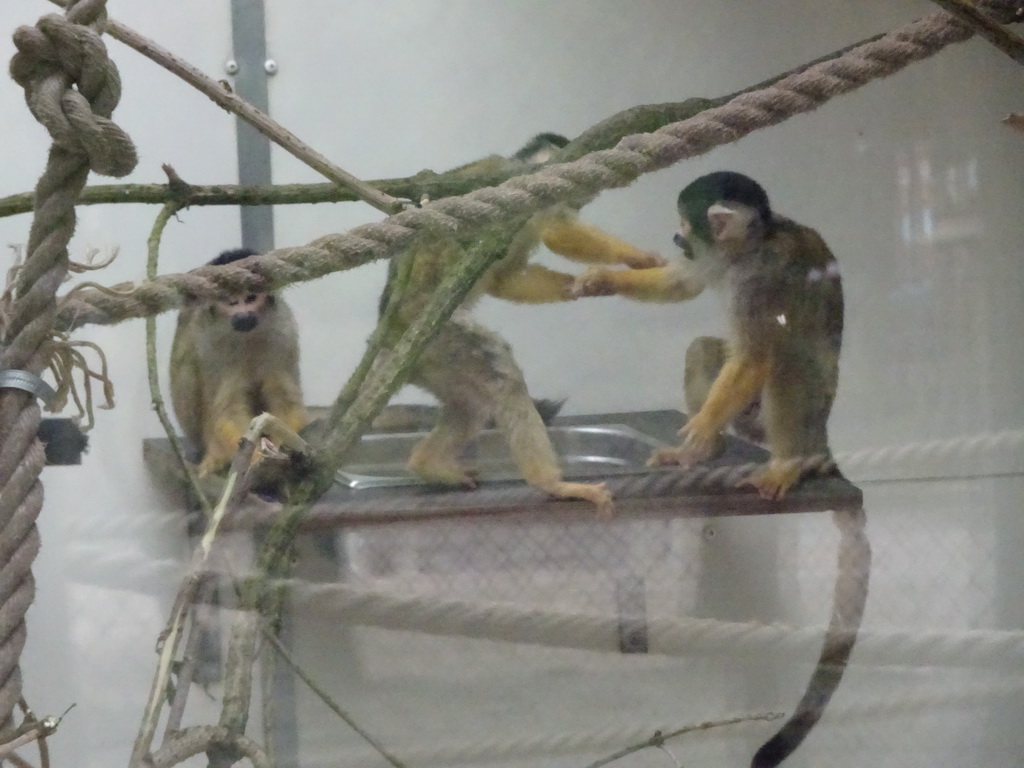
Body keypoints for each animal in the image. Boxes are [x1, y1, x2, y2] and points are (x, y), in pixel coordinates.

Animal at [169, 247, 307, 475]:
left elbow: (285, 401)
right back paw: (213, 453)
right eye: (231, 302)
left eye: (251, 298)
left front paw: (279, 444)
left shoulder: (283, 332)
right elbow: (227, 410)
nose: (244, 315)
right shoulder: (211, 342)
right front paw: (254, 457)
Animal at [573, 171, 843, 501]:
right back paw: (702, 452)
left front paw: (705, 422)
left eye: (684, 223)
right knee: (702, 349)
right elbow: (681, 284)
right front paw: (603, 279)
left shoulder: (764, 279)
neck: (747, 249)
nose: (676, 237)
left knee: (785, 369)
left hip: (811, 410)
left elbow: (755, 356)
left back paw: (785, 466)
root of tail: (821, 434)